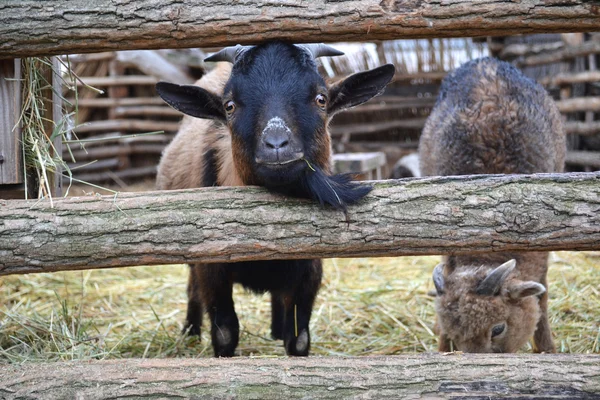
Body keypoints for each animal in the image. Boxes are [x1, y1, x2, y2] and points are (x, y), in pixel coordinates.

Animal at [157, 41, 396, 356]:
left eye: (321, 99)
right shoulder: (211, 268)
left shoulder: (309, 270)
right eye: (229, 106)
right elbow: (225, 333)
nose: (277, 145)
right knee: (192, 289)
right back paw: (190, 332)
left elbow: (298, 338)